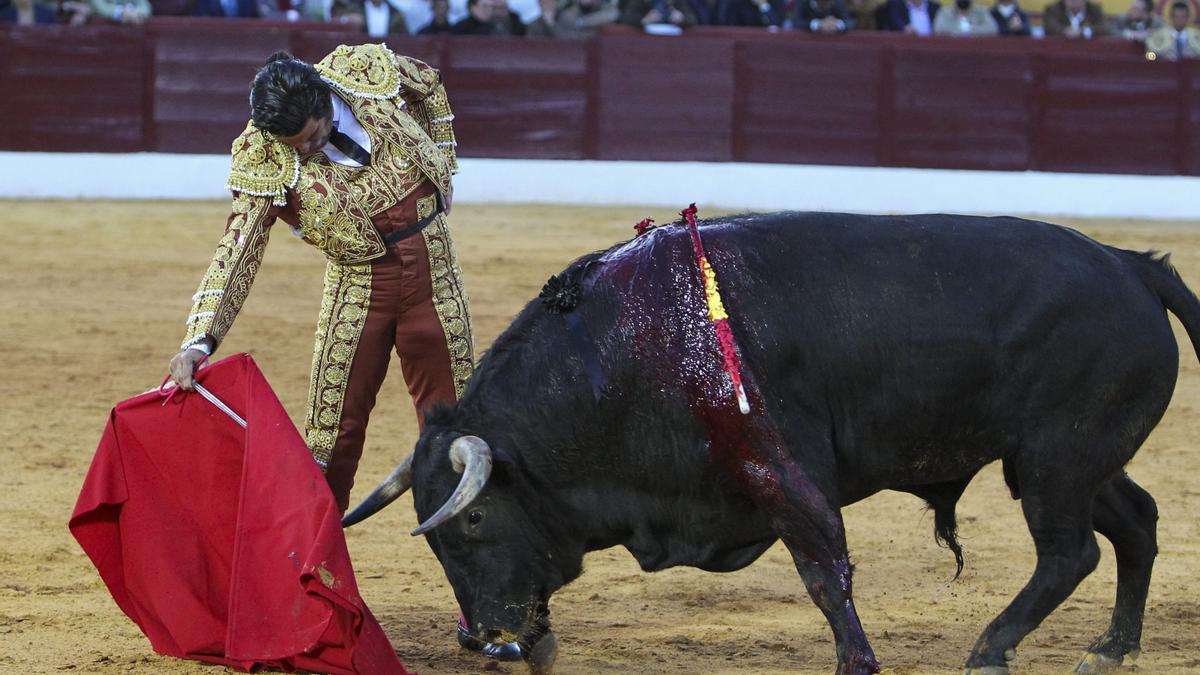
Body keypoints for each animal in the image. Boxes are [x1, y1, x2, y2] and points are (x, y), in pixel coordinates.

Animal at [340, 211, 1200, 672]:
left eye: (475, 518)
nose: (488, 635)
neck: (627, 352)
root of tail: (1131, 265)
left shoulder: (781, 470)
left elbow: (825, 572)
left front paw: (857, 659)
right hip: (1075, 460)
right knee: (1136, 521)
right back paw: (1112, 644)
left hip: (1055, 460)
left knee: (1070, 552)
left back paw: (991, 646)